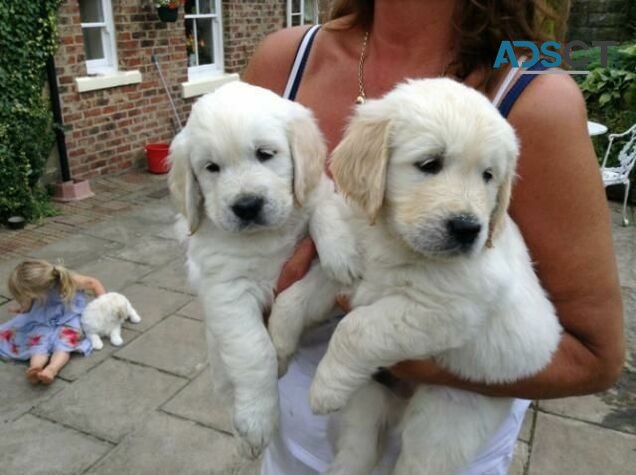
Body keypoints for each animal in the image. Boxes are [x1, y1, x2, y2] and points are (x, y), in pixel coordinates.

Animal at [169, 82, 358, 462]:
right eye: (211, 167)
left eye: (265, 154)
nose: (246, 206)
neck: (267, 236)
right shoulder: (226, 291)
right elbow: (254, 351)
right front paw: (256, 419)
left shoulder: (314, 261)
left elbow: (322, 211)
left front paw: (340, 249)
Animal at [268, 79, 560, 475]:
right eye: (429, 164)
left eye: (488, 176)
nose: (469, 229)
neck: (394, 239)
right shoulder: (351, 274)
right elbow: (294, 298)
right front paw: (278, 346)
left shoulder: (442, 312)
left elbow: (355, 328)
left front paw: (323, 390)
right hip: (369, 394)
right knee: (361, 444)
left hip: (445, 416)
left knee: (418, 460)